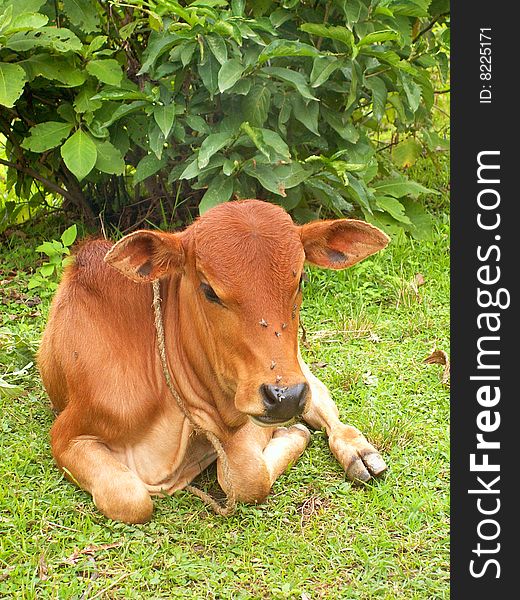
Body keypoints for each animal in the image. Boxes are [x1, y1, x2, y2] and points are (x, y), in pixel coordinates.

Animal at [38, 199, 390, 524]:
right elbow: (129, 499)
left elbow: (246, 476)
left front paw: (294, 435)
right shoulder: (67, 435)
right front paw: (293, 433)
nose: (285, 398)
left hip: (299, 371)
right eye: (209, 290)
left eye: (301, 278)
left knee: (326, 410)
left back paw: (358, 453)